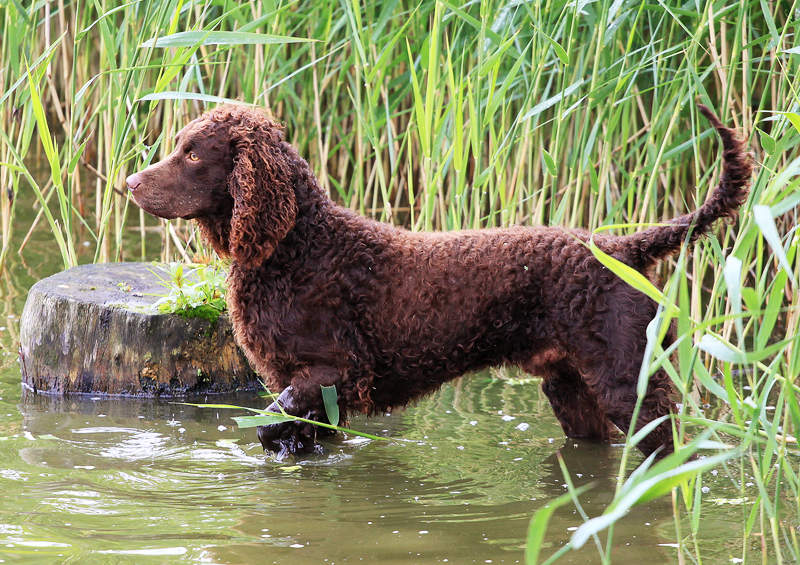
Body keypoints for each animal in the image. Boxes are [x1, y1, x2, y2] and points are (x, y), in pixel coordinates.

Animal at [126, 104, 752, 458]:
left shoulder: (334, 371)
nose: (129, 182)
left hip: (628, 384)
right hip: (572, 390)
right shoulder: (313, 391)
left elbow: (269, 424)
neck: (297, 246)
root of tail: (622, 247)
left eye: (192, 154)